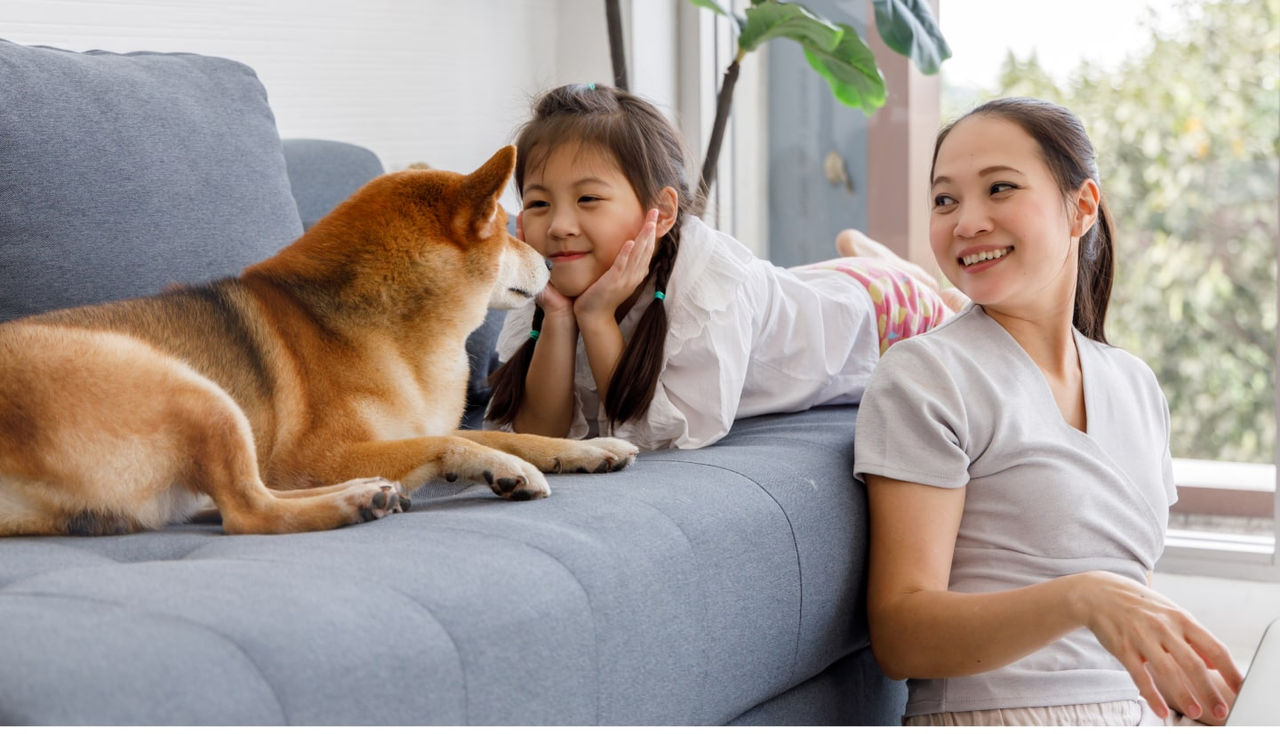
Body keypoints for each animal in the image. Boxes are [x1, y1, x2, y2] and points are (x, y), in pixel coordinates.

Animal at [0, 145, 637, 536]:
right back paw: (354, 499)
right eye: (507, 230)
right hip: (197, 393)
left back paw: (368, 491)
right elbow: (454, 441)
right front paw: (504, 466)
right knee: (248, 510)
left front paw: (586, 449)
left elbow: (509, 433)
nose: (552, 266)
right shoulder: (316, 455)